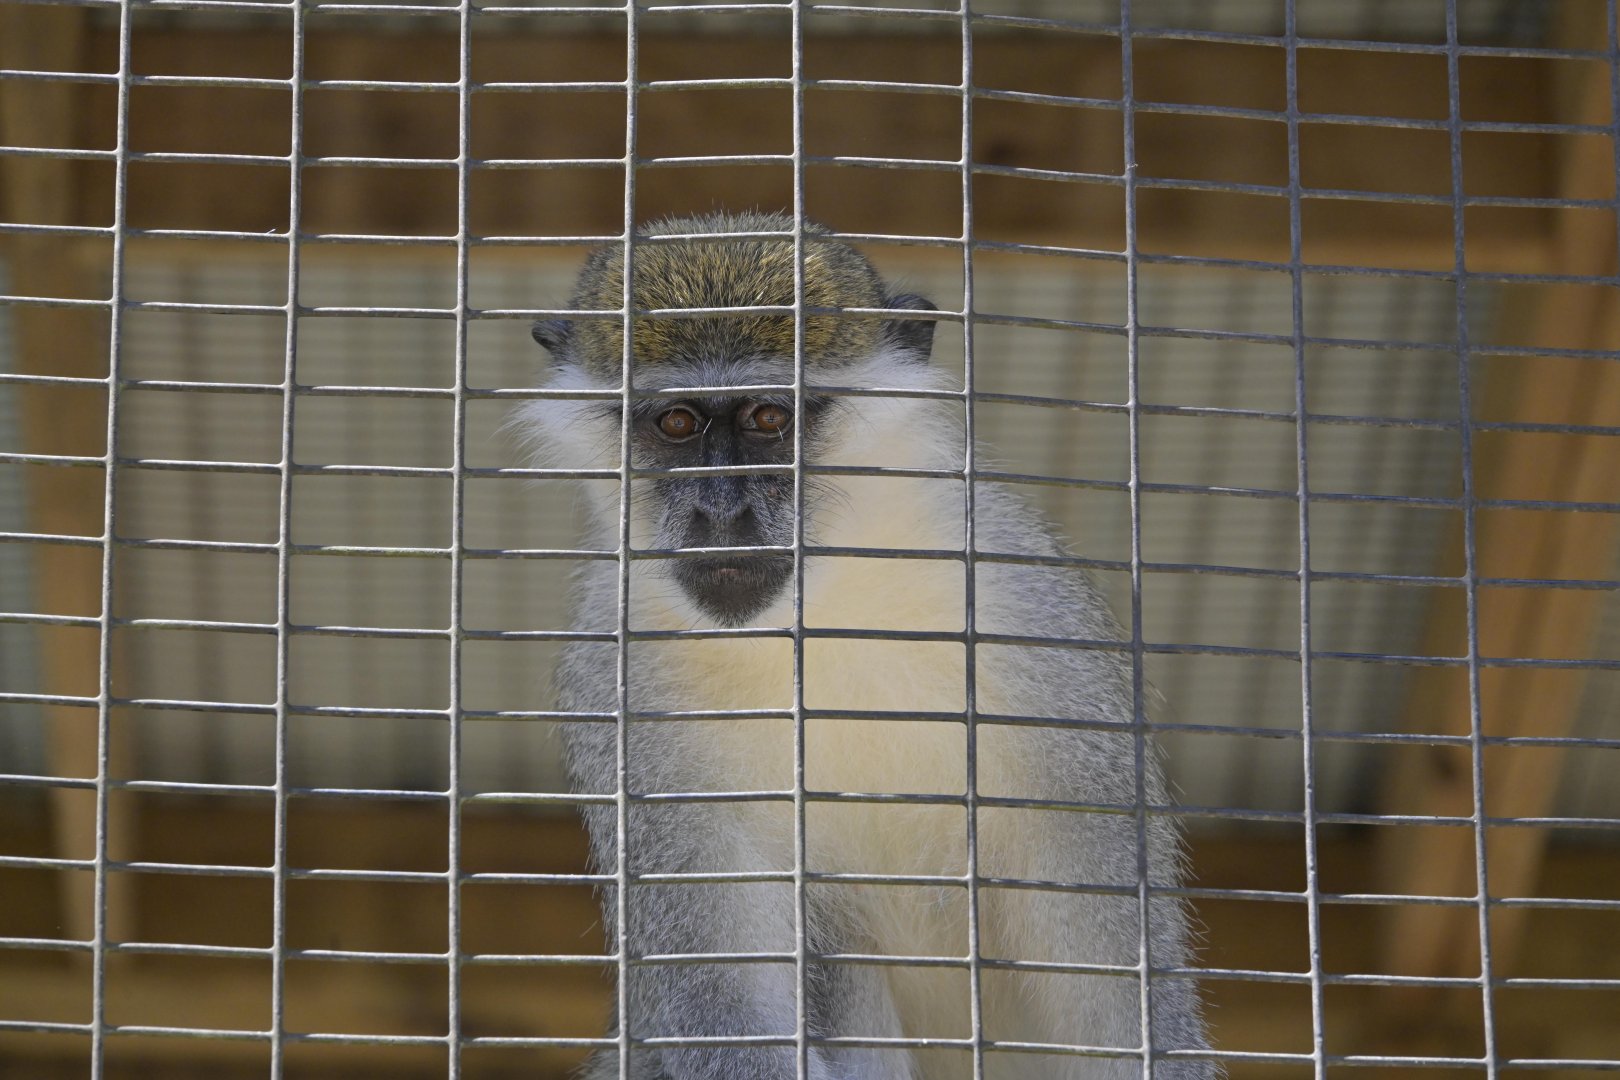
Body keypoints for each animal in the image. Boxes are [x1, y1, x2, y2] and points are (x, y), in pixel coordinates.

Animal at [513, 210, 1216, 1080]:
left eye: (768, 419)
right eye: (675, 423)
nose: (720, 512)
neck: (821, 610)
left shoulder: (1035, 624)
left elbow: (1117, 1000)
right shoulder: (616, 676)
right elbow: (720, 1003)